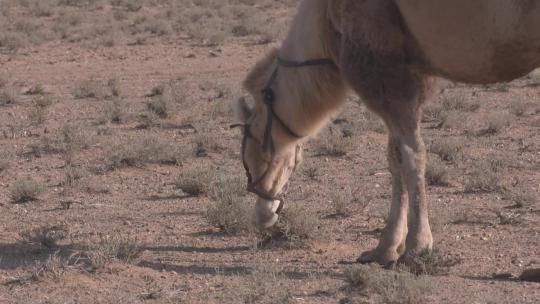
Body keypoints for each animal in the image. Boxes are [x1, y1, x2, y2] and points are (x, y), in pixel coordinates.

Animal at [233, 0, 540, 264]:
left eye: (255, 151)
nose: (262, 215)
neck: (324, 24)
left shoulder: (386, 73)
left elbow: (412, 155)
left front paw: (417, 247)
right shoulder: (410, 78)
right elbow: (394, 157)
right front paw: (385, 249)